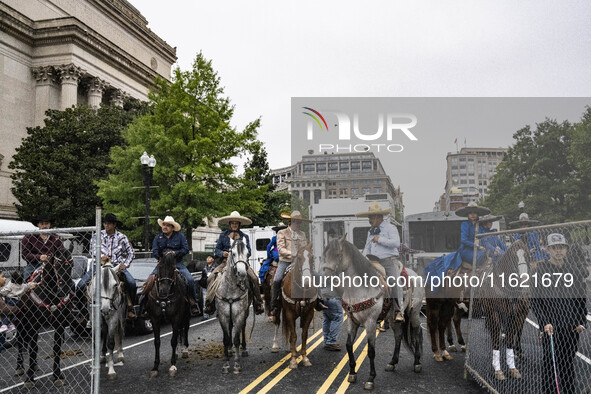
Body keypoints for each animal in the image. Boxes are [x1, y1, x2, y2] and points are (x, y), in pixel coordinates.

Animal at [15, 249, 74, 388]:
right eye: (57, 265)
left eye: (72, 265)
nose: (65, 289)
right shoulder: (33, 324)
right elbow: (32, 349)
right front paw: (29, 378)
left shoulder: (59, 325)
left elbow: (56, 349)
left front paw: (57, 374)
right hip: (22, 322)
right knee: (20, 341)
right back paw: (19, 367)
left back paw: (35, 365)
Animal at [216, 239, 251, 374]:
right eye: (233, 253)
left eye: (247, 254)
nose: (242, 273)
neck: (230, 288)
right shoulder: (223, 316)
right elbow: (226, 339)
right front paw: (226, 364)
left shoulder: (239, 315)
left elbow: (236, 339)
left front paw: (236, 364)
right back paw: (230, 351)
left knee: (242, 327)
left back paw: (243, 349)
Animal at [324, 235, 420, 390]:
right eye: (325, 255)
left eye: (338, 255)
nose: (326, 277)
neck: (360, 288)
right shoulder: (352, 321)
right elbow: (349, 345)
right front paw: (352, 373)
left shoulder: (370, 323)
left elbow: (371, 350)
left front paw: (370, 378)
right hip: (393, 318)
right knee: (398, 335)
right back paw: (392, 363)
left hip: (414, 313)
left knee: (416, 334)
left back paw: (417, 362)